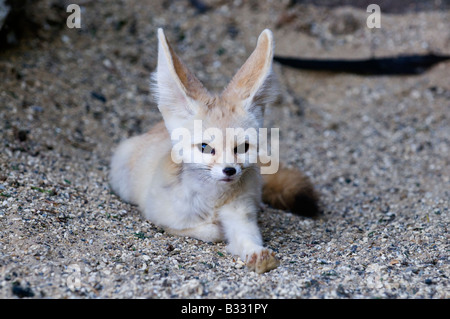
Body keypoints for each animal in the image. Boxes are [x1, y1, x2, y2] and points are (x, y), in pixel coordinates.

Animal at [110, 28, 318, 276]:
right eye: (205, 148)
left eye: (243, 148)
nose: (229, 171)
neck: (214, 202)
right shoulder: (160, 216)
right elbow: (208, 231)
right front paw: (215, 228)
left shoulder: (241, 215)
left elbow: (247, 237)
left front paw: (257, 254)